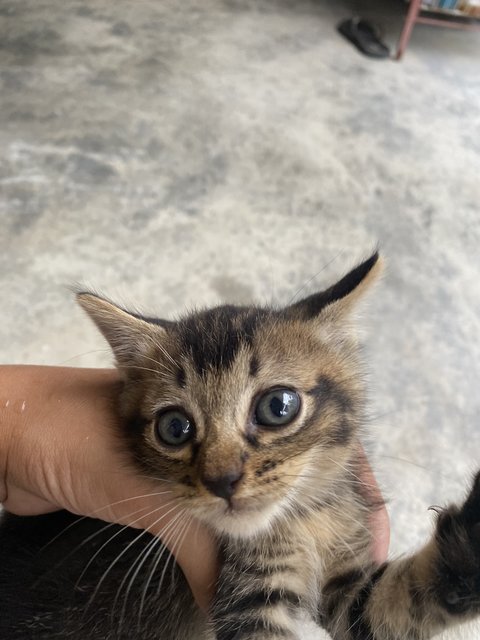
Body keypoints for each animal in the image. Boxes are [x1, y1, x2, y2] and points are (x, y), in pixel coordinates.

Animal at [0, 251, 480, 640]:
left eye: (277, 406)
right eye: (175, 428)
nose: (223, 480)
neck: (303, 521)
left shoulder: (352, 582)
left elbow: (396, 602)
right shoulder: (249, 603)